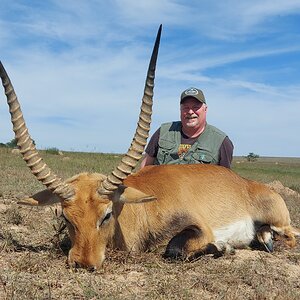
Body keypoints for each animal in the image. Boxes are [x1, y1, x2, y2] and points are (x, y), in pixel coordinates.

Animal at [1, 25, 298, 270]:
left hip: (282, 222)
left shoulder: (199, 229)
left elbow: (174, 249)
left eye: (106, 215)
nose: (84, 264)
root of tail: (247, 183)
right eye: (66, 218)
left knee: (290, 236)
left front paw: (224, 248)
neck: (142, 209)